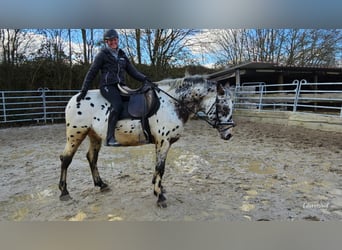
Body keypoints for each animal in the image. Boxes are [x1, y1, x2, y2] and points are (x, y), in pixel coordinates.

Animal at [58, 74, 235, 207]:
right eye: (224, 108)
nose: (229, 135)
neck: (172, 103)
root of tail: (75, 98)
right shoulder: (164, 141)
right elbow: (161, 168)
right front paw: (159, 196)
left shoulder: (161, 142)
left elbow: (158, 167)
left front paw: (158, 188)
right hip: (76, 134)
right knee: (66, 159)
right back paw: (64, 192)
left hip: (94, 135)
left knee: (91, 158)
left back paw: (101, 184)